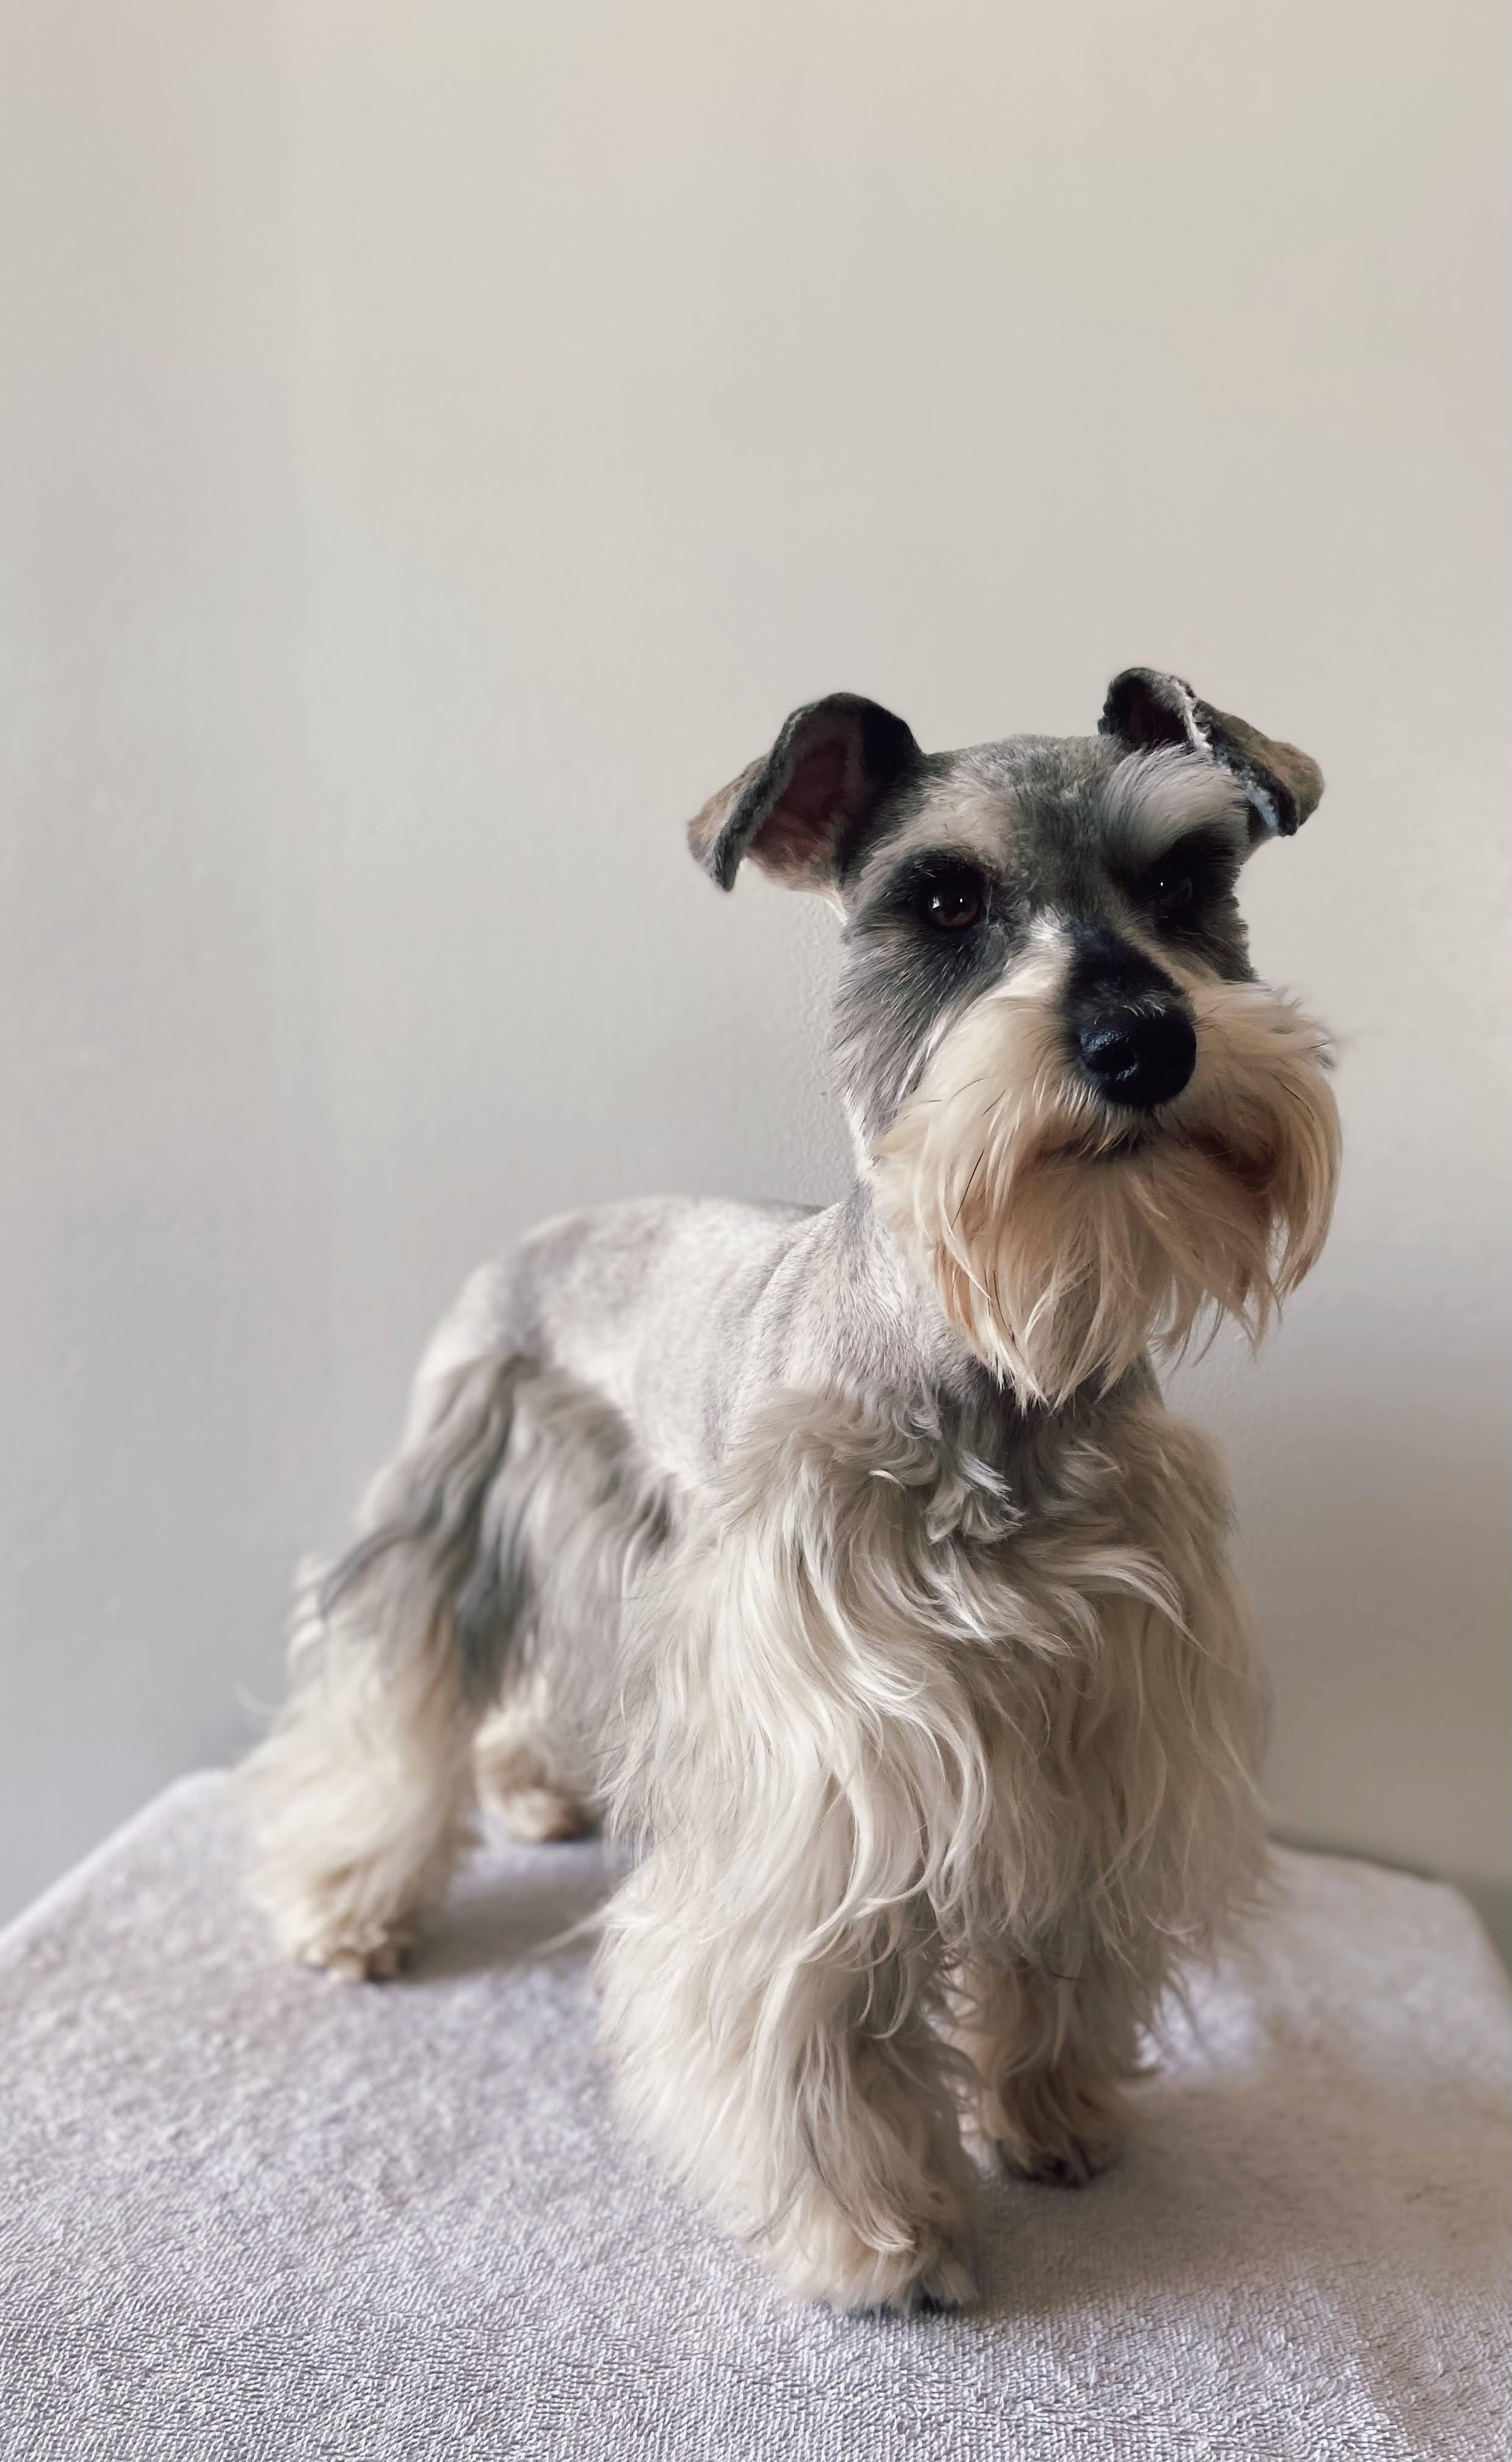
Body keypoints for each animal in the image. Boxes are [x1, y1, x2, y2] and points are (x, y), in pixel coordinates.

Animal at [243, 666, 1340, 2313]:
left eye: (1184, 879)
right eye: (941, 898)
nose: (1142, 1043)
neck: (1000, 1368)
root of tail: (544, 1231)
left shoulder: (1105, 1720)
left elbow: (1064, 1938)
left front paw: (1053, 2114)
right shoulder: (825, 1771)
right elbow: (819, 2012)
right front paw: (878, 2233)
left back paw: (528, 1785)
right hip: (456, 1507)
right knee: (391, 1701)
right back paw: (353, 1900)